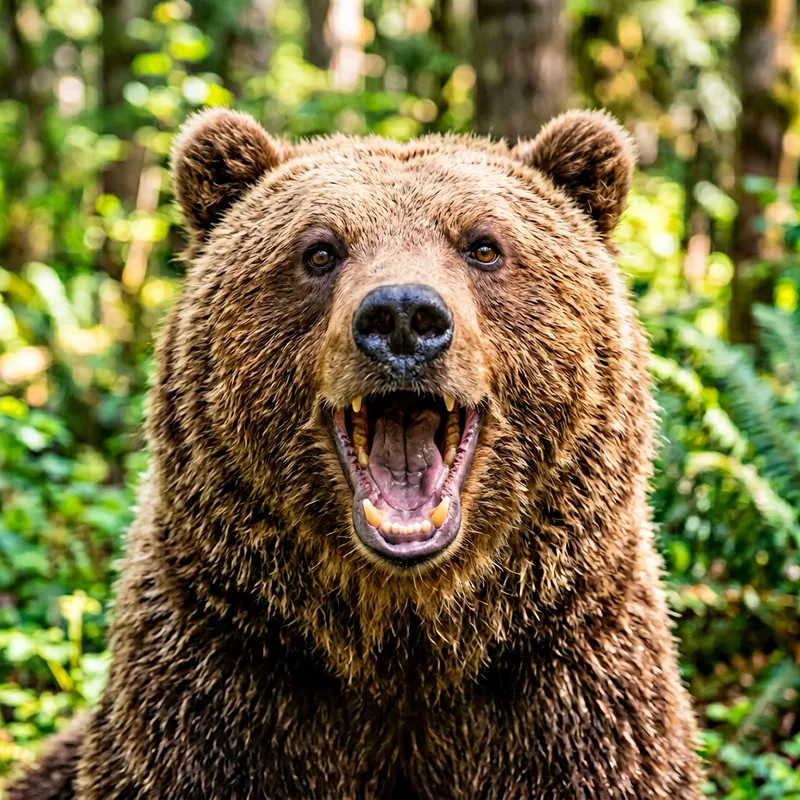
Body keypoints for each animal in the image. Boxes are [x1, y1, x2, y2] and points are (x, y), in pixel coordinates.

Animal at [9, 107, 702, 799]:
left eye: (484, 245)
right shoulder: (217, 677)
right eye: (319, 250)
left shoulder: (570, 689)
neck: (397, 640)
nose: (403, 316)